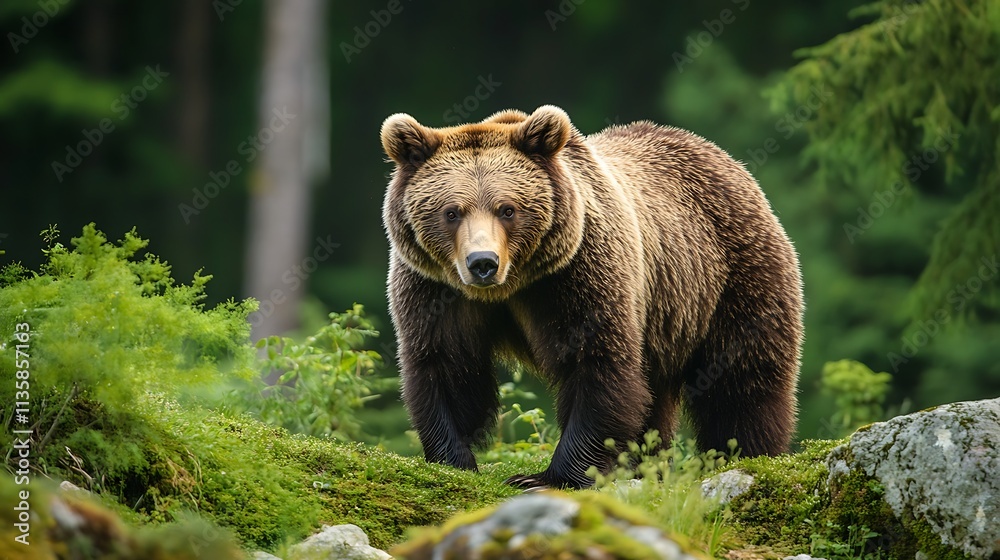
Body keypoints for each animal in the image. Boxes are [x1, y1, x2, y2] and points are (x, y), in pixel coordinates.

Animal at [380, 105, 803, 489]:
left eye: (507, 209)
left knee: (741, 376)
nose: (482, 262)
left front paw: (547, 477)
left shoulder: (581, 272)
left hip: (730, 275)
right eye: (452, 211)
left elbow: (597, 363)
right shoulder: (435, 288)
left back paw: (743, 452)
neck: (514, 284)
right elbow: (446, 363)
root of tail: (721, 156)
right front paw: (453, 459)